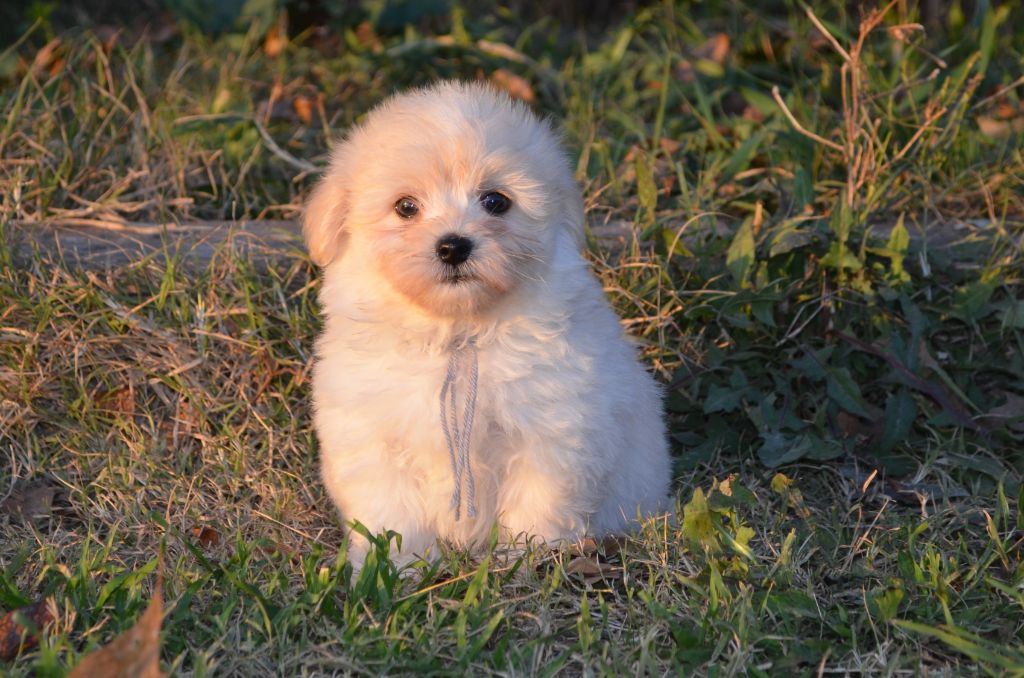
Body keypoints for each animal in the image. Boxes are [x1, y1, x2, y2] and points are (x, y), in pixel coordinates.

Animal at [303, 80, 671, 569]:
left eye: (495, 202)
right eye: (405, 207)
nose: (453, 246)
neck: (459, 335)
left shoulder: (552, 432)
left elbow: (539, 504)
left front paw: (527, 560)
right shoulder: (373, 438)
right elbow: (393, 513)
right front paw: (399, 568)